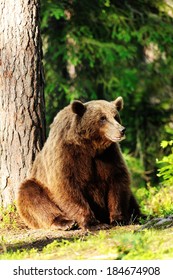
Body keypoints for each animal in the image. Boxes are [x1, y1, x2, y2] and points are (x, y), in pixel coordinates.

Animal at [16, 97, 141, 231]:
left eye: (116, 116)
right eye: (102, 118)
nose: (121, 130)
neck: (90, 146)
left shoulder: (108, 155)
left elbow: (117, 180)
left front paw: (119, 219)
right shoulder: (66, 155)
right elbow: (67, 187)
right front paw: (94, 223)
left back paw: (137, 215)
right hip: (37, 184)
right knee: (30, 193)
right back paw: (65, 222)